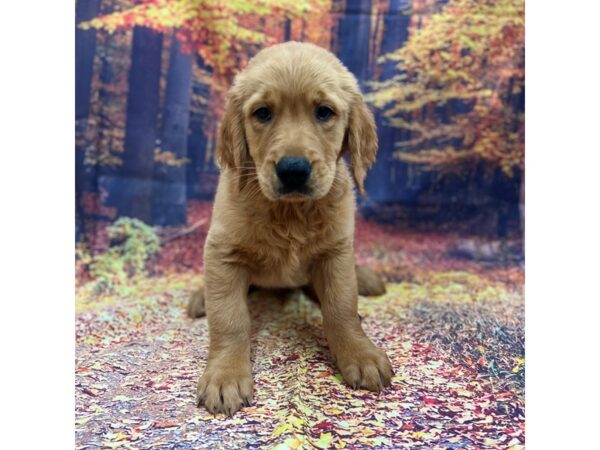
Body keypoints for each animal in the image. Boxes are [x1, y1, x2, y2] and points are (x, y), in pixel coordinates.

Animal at [190, 42, 392, 414]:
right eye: (263, 113)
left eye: (324, 112)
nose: (293, 170)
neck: (291, 212)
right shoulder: (223, 254)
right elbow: (229, 319)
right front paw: (225, 376)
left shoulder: (336, 253)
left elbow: (342, 308)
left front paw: (361, 354)